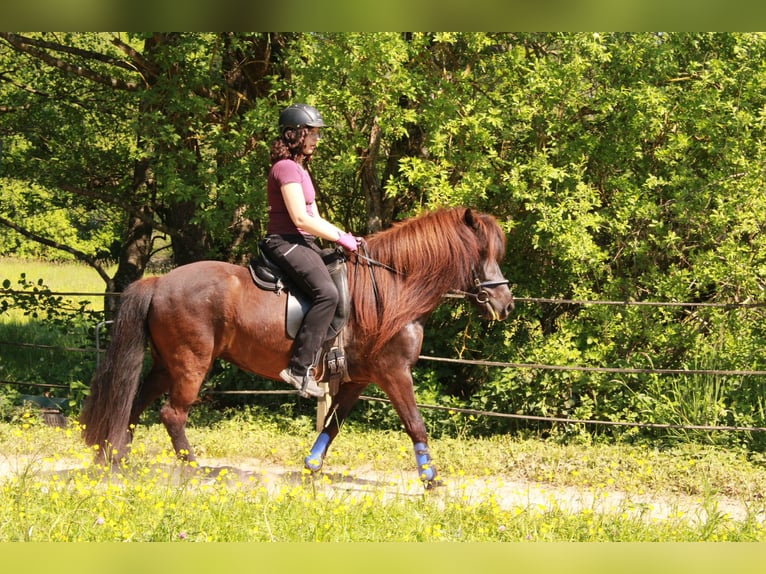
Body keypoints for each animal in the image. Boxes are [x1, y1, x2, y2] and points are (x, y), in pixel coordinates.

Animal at [80, 207, 514, 487]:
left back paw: (116, 461)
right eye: (482, 254)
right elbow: (415, 424)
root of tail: (159, 281)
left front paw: (311, 468)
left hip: (165, 363)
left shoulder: (359, 378)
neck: (395, 290)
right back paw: (193, 469)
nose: (505, 304)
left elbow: (333, 425)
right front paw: (430, 479)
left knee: (134, 406)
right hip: (190, 363)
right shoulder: (394, 373)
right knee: (172, 414)